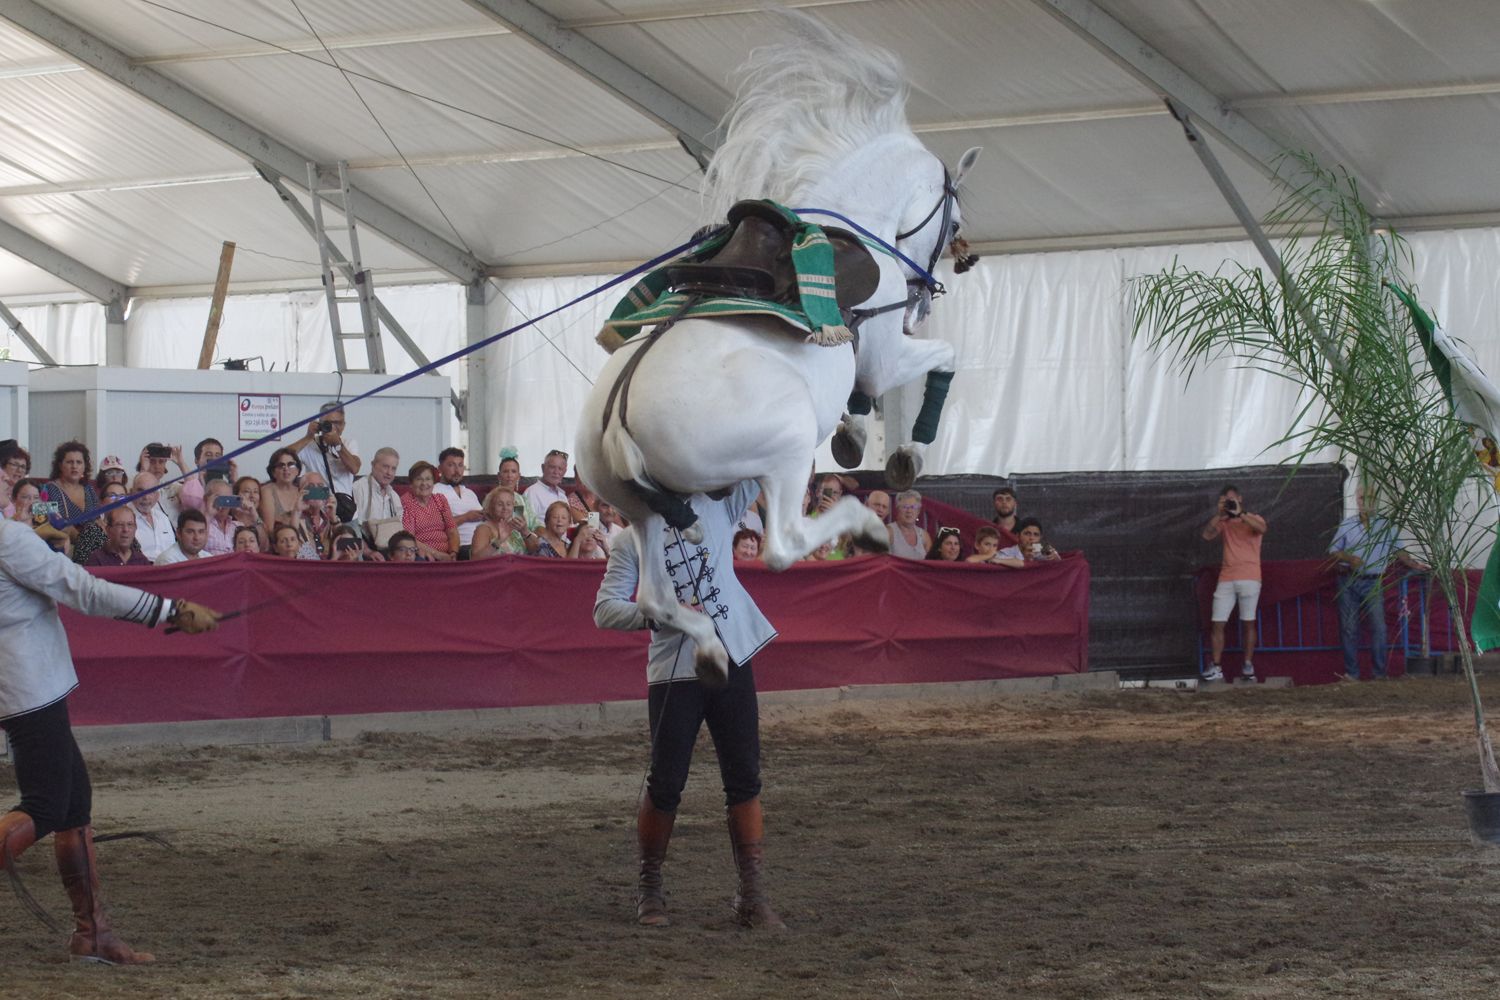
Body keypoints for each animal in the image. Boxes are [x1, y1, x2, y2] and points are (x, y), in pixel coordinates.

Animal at [573, 15, 972, 683]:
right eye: (955, 217)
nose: (926, 294)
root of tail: (617, 423)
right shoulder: (886, 354)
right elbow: (943, 359)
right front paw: (906, 454)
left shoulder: (865, 361)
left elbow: (862, 399)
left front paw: (855, 437)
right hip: (783, 453)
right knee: (784, 544)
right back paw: (867, 529)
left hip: (641, 513)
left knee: (656, 598)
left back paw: (710, 648)